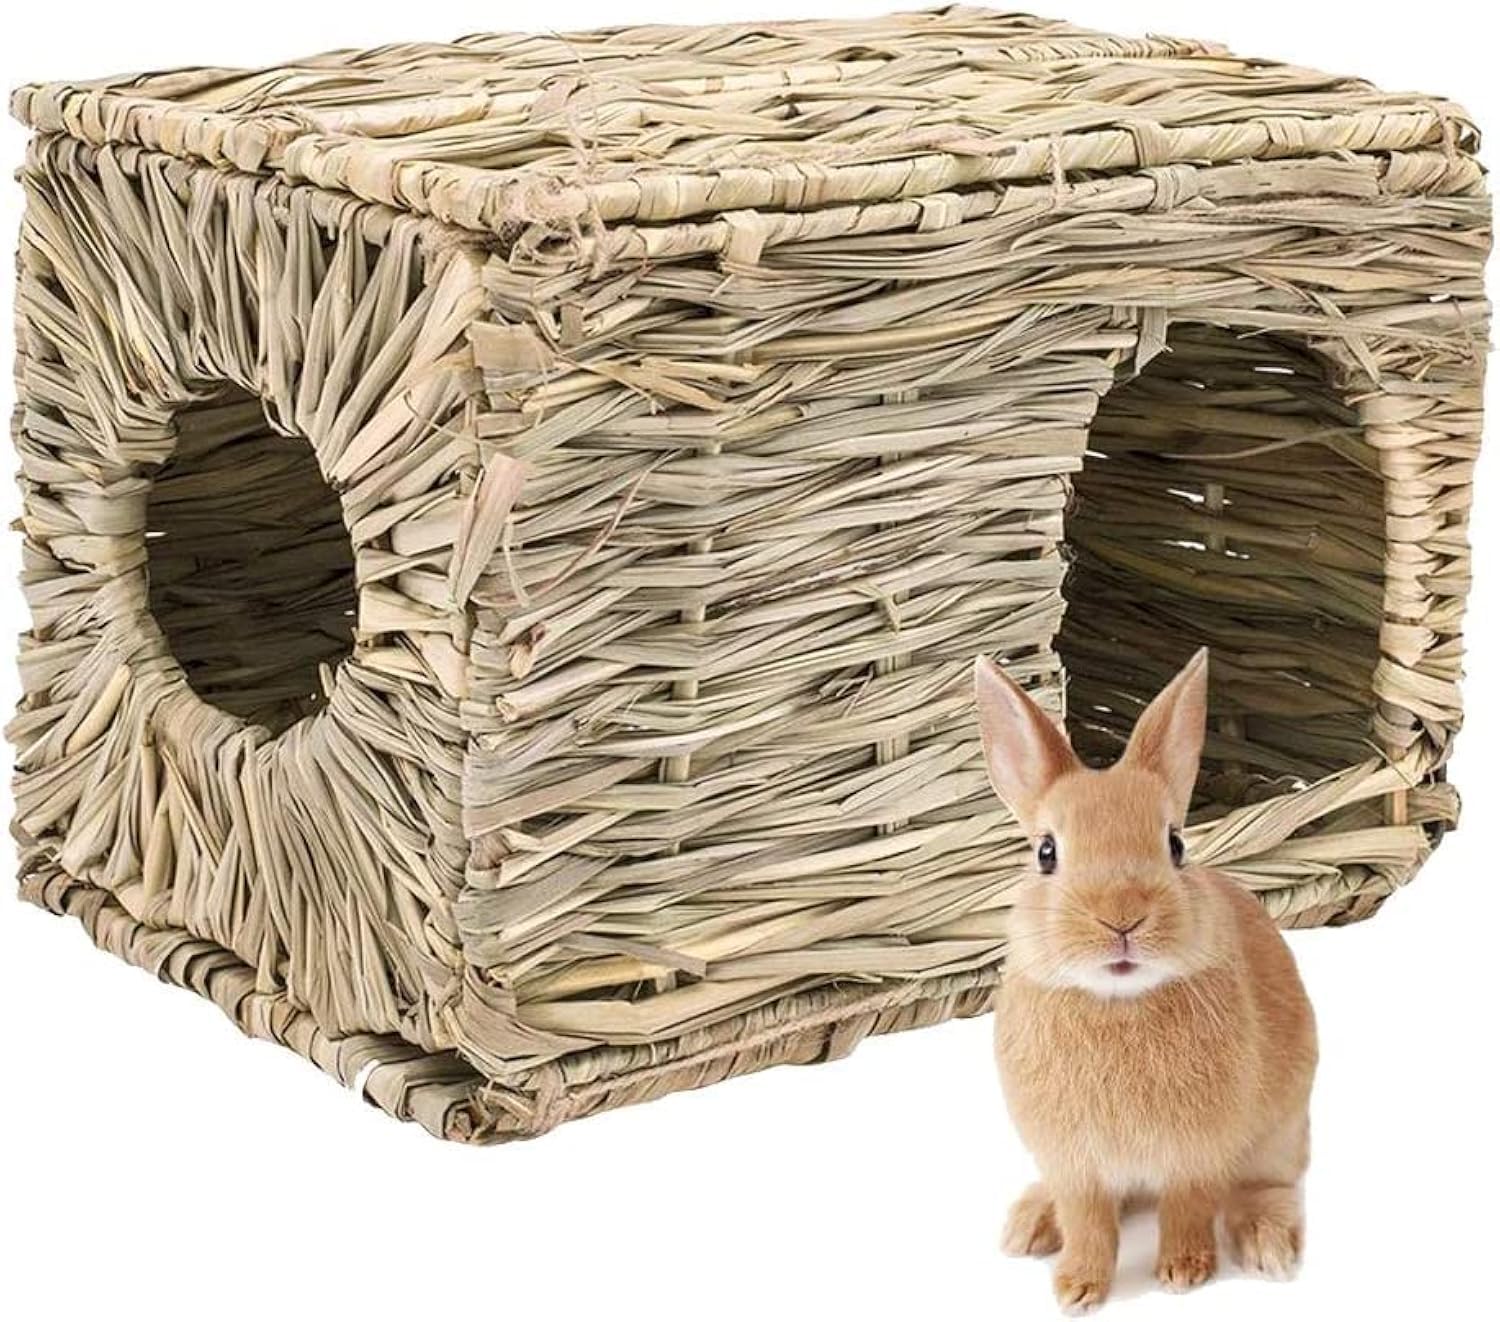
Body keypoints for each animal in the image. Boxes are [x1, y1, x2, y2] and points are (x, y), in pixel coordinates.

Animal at [974, 648, 1317, 1314]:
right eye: (1046, 853)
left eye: (1176, 844)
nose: (1122, 916)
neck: (1116, 1001)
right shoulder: (1074, 1163)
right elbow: (1089, 1222)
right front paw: (1077, 1288)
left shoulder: (1197, 1154)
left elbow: (1187, 1208)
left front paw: (1183, 1272)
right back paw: (1030, 1224)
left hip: (1281, 1129)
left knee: (1266, 1183)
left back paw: (1267, 1244)